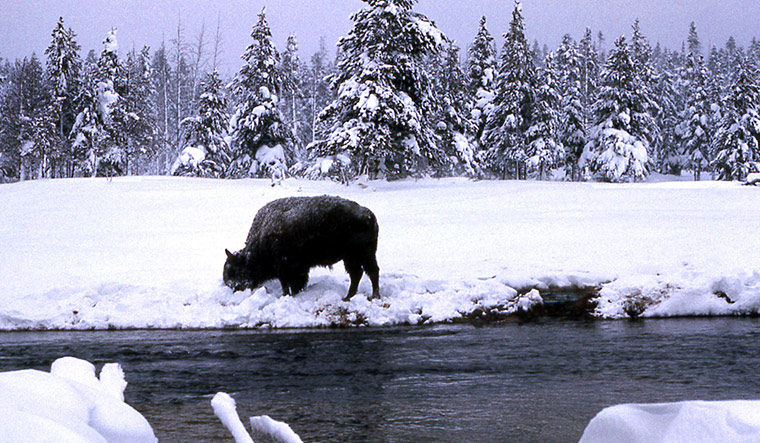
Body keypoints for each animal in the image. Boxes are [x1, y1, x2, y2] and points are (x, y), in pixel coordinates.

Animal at [224, 196, 380, 301]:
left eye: (235, 270)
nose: (233, 286)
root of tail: (369, 215)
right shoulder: (297, 269)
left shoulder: (285, 268)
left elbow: (287, 284)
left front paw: (287, 296)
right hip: (351, 257)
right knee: (357, 273)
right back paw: (348, 297)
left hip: (362, 254)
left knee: (371, 272)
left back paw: (374, 296)